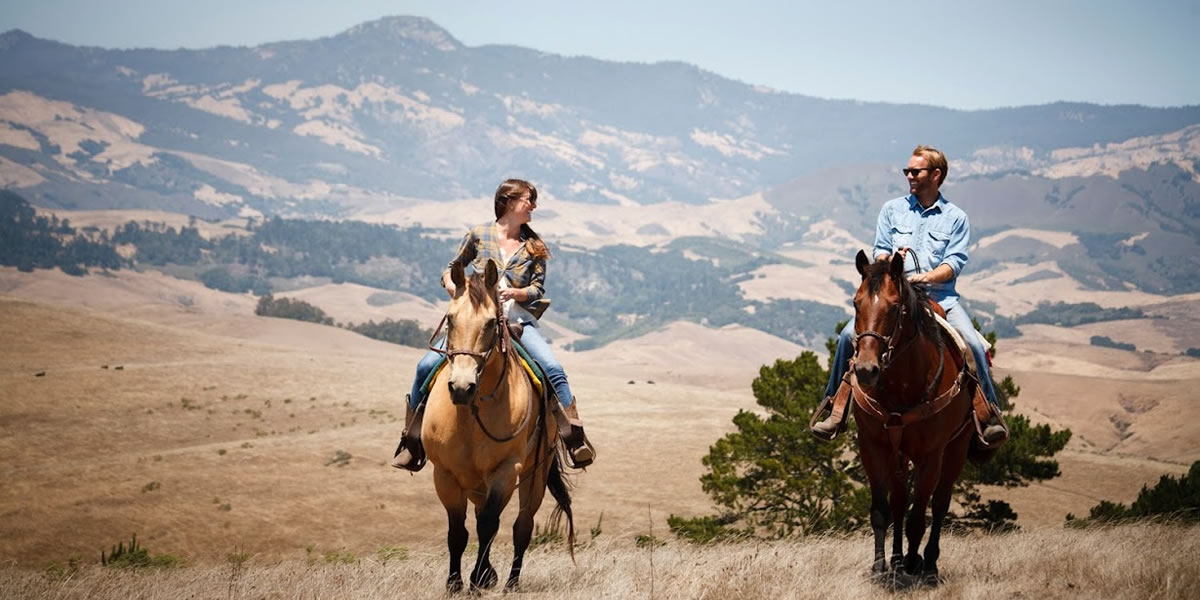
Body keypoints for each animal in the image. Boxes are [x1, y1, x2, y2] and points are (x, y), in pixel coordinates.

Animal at [420, 261, 573, 590]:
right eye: (450, 319)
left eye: (491, 323)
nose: (461, 387)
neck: (471, 413)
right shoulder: (445, 473)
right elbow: (458, 531)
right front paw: (455, 584)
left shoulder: (506, 470)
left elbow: (489, 525)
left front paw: (478, 579)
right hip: (476, 481)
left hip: (535, 474)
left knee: (521, 526)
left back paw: (510, 583)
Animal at [849, 250, 979, 583]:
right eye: (856, 303)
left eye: (895, 307)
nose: (866, 370)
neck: (902, 385)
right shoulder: (873, 446)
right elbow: (882, 510)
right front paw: (881, 567)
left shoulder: (930, 455)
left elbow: (919, 516)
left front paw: (912, 563)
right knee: (898, 504)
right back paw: (897, 561)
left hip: (957, 447)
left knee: (941, 503)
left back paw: (928, 564)